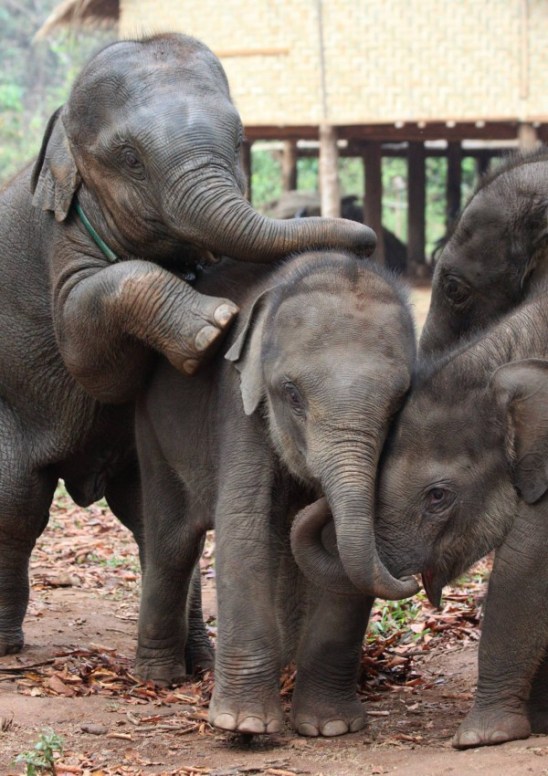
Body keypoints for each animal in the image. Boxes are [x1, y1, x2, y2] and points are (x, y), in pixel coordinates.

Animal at [0, 33, 377, 660]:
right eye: (129, 157)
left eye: (240, 139)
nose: (367, 240)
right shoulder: (60, 241)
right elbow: (86, 349)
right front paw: (213, 328)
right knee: (18, 500)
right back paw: (9, 648)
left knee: (150, 519)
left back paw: (198, 656)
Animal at [133, 249, 418, 737]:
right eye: (292, 394)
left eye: (399, 402)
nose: (414, 580)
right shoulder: (238, 405)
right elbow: (244, 529)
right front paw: (244, 726)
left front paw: (329, 727)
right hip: (150, 431)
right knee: (174, 544)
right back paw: (160, 677)